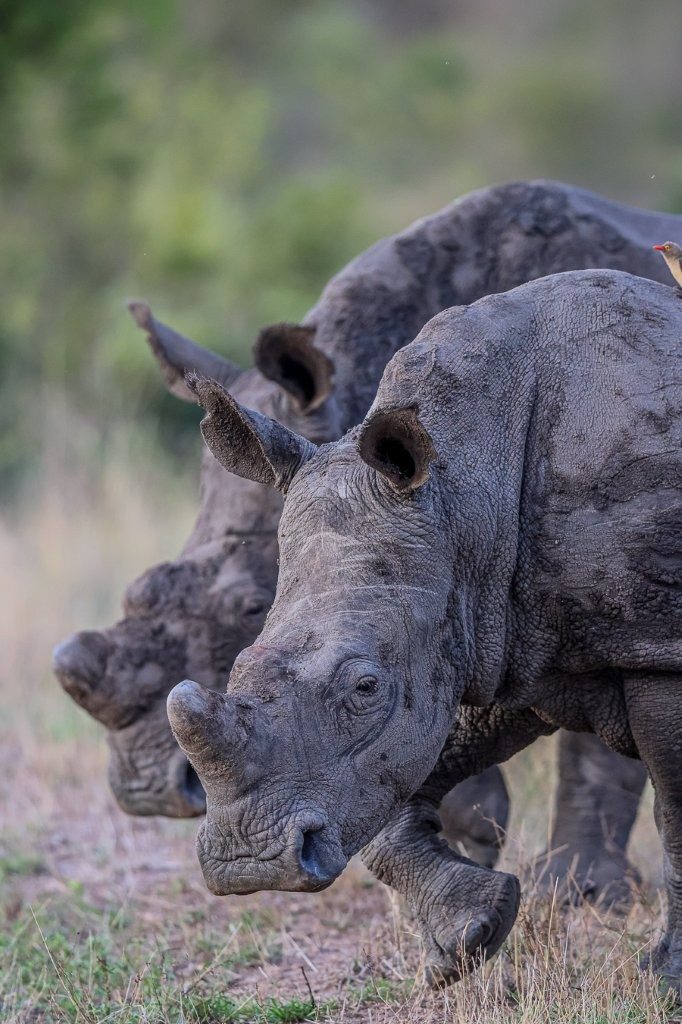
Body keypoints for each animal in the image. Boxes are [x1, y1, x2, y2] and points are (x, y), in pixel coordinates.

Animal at [55, 180, 678, 891]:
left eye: (248, 606)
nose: (146, 792)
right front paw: (473, 833)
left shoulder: (620, 587)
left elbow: (596, 743)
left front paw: (579, 890)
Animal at [169, 269, 682, 993]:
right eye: (237, 665)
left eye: (365, 687)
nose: (249, 863)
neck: (466, 489)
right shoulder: (497, 630)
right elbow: (400, 780)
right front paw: (467, 936)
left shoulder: (656, 644)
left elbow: (679, 816)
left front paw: (665, 981)